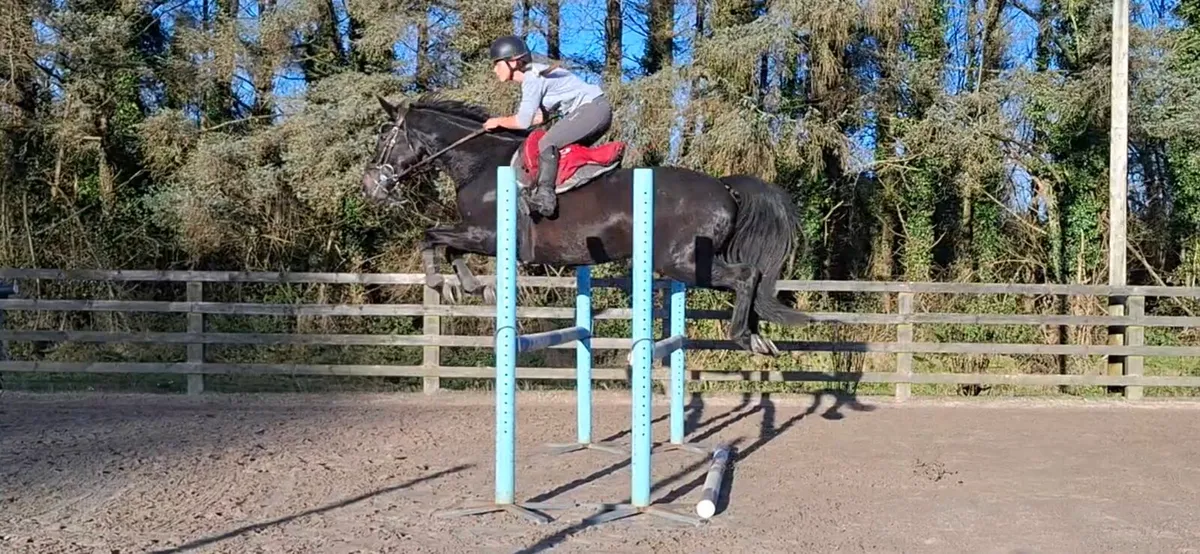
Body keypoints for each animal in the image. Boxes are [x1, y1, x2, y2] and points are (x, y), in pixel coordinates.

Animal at [360, 94, 811, 356]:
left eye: (383, 136)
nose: (371, 187)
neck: (479, 163)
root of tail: (724, 187)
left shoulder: (487, 235)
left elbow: (431, 237)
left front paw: (445, 284)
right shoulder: (477, 236)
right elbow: (448, 246)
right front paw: (472, 287)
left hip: (681, 262)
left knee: (745, 275)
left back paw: (744, 336)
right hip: (690, 263)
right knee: (748, 279)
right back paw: (758, 336)